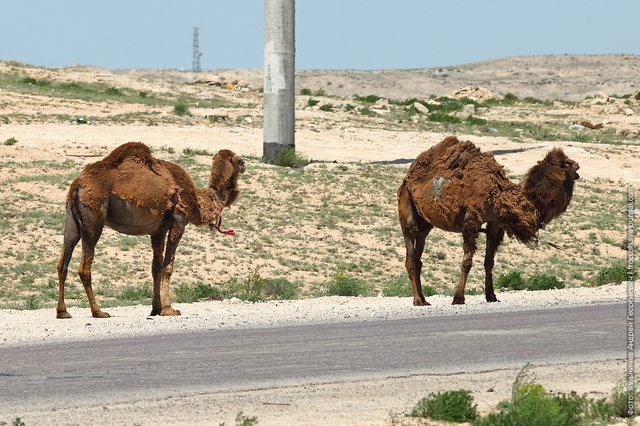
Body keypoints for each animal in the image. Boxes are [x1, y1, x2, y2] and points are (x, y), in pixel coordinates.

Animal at [56, 141, 245, 318]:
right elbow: (168, 267)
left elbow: (156, 268)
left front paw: (156, 308)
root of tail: (77, 185)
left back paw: (63, 312)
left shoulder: (158, 230)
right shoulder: (178, 222)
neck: (199, 203)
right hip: (93, 219)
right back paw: (98, 312)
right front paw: (169, 309)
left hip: (72, 221)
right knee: (84, 267)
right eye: (237, 159)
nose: (244, 163)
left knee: (62, 263)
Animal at [398, 136, 576, 306]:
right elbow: (467, 261)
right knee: (410, 252)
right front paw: (458, 298)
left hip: (425, 224)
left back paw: (424, 299)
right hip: (406, 206)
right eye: (567, 164)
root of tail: (407, 177)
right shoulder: (471, 220)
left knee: (418, 253)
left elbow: (489, 261)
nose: (577, 166)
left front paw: (491, 296)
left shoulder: (494, 225)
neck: (499, 194)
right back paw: (418, 301)